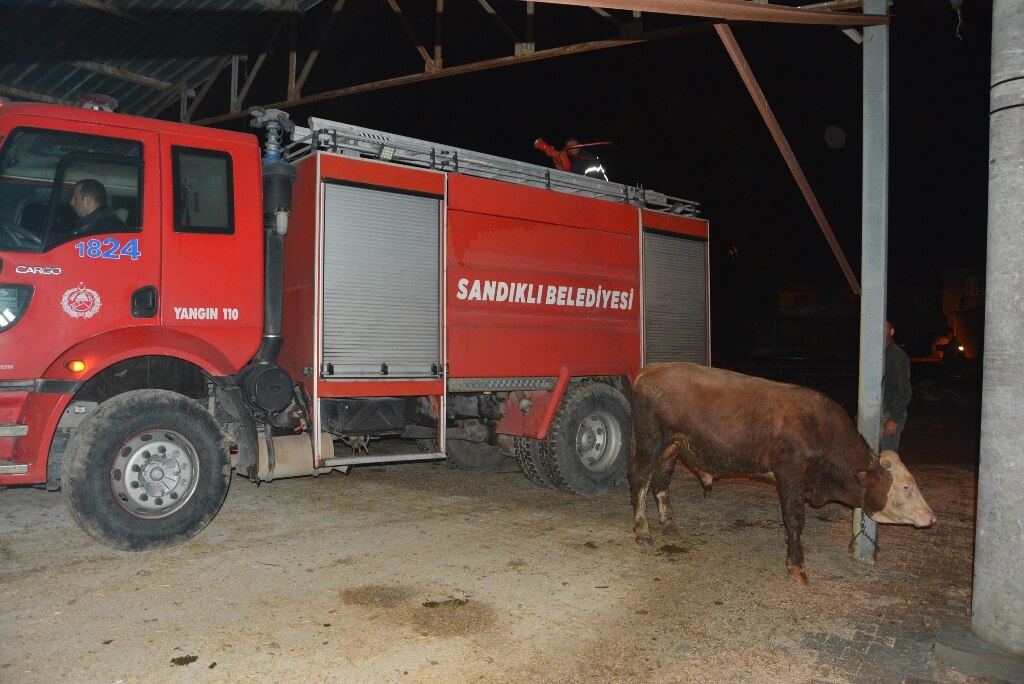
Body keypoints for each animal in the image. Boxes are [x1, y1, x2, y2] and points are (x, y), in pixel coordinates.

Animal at [622, 362, 937, 581]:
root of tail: (653, 368)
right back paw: (643, 532)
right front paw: (796, 565)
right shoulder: (790, 475)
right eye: (906, 486)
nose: (931, 516)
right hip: (651, 441)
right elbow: (795, 519)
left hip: (672, 447)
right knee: (640, 478)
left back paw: (669, 524)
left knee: (660, 482)